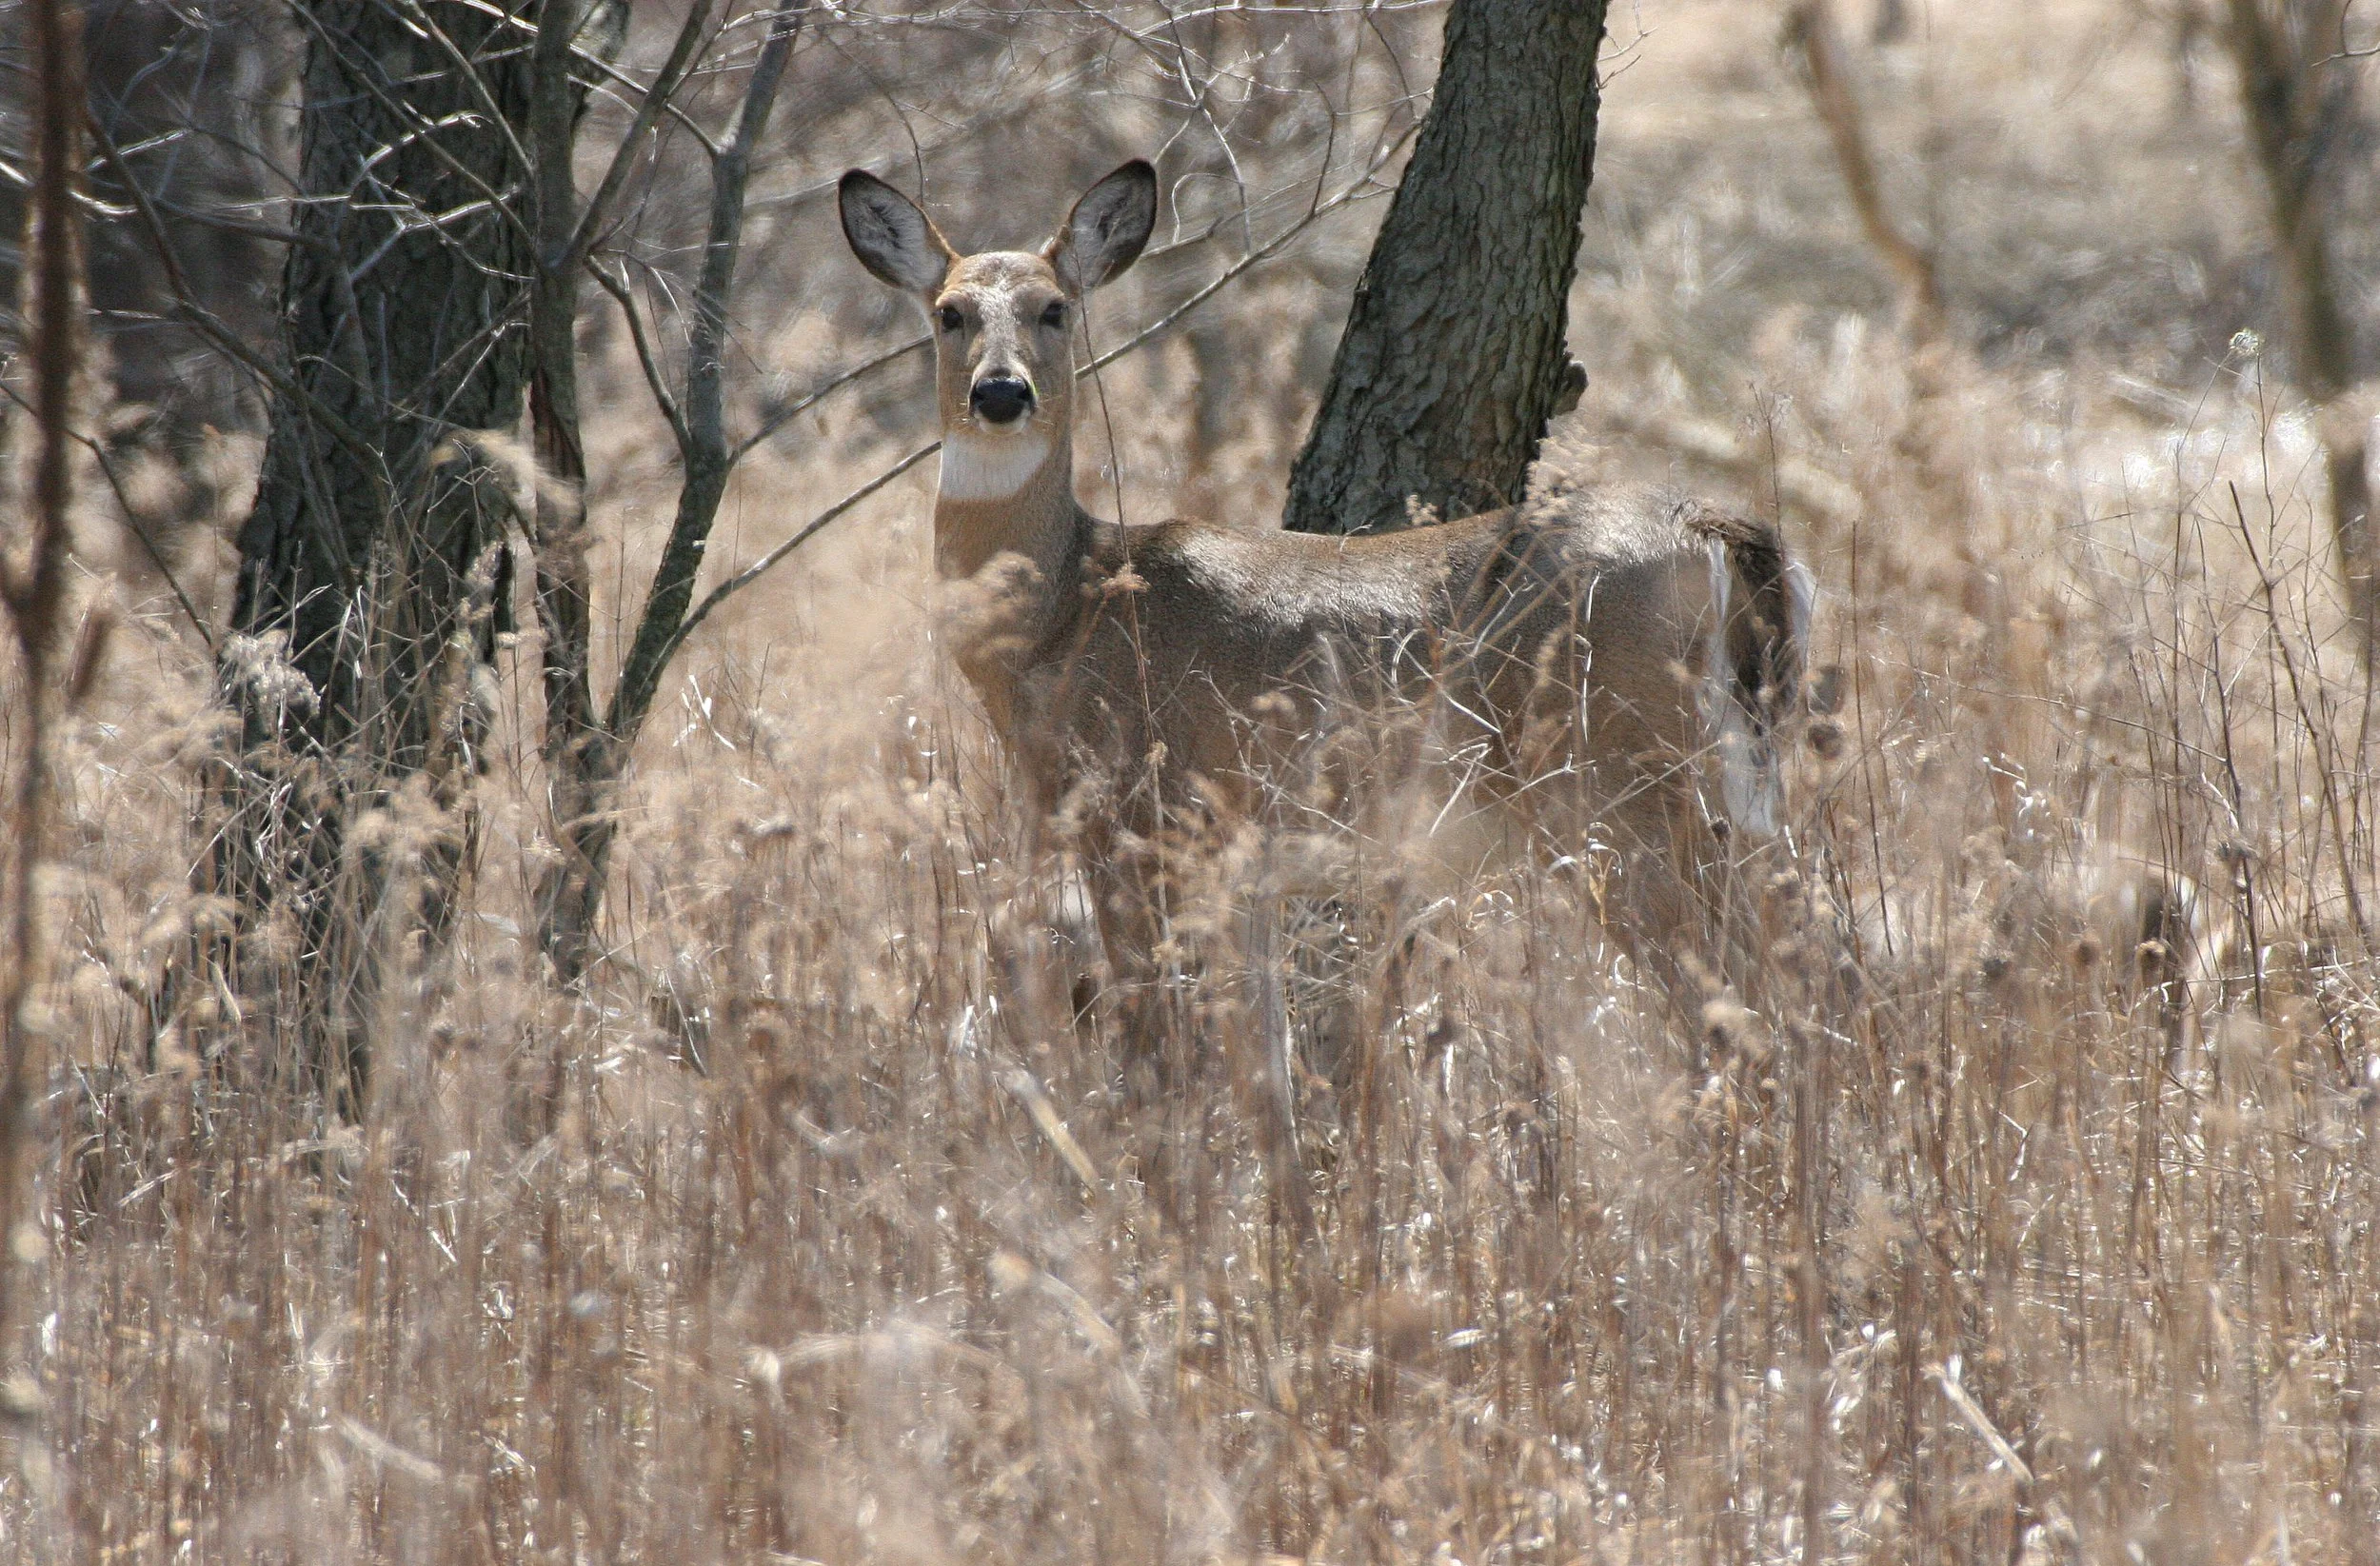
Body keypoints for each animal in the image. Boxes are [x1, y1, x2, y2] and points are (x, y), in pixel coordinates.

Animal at [838, 158, 1810, 1055]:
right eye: (948, 312)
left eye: (1054, 308)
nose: (1001, 393)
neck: (1062, 617)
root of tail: (1708, 527)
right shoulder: (1244, 871)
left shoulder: (1136, 828)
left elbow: (1153, 1042)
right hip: (1736, 787)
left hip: (1614, 784)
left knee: (1735, 999)